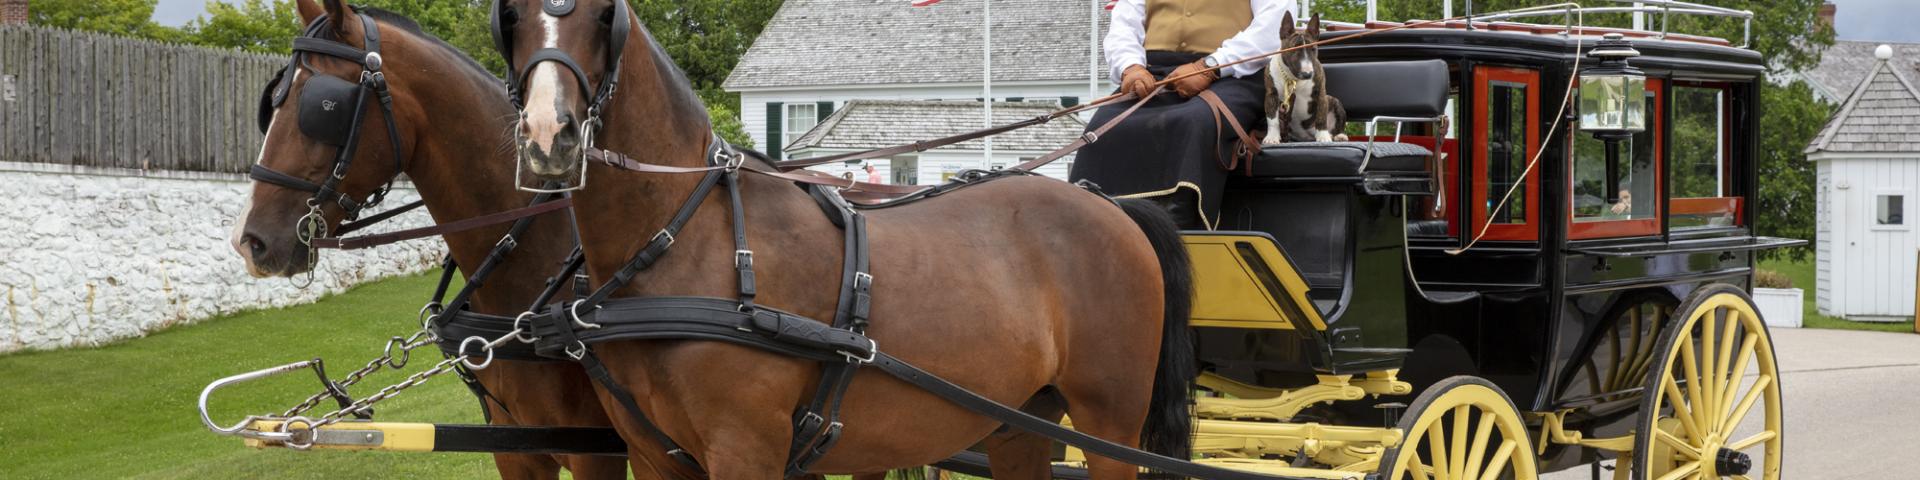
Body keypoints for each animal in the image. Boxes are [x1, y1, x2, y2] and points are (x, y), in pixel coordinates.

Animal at [495, 1, 1182, 478]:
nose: (548, 138)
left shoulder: (745, 449)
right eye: (512, 15)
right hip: (1023, 423)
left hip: (1109, 424)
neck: (684, 242)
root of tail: (1109, 203)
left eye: (602, 15)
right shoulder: (653, 455)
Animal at [1259, 10, 1351, 142]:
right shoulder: (1272, 94)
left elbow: (1321, 116)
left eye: (1313, 49)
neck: (1293, 79)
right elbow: (1272, 119)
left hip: (1335, 102)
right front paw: (1272, 137)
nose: (1307, 74)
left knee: (1334, 127)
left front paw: (1323, 137)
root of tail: (1307, 136)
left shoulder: (1320, 92)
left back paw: (1338, 136)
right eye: (1294, 48)